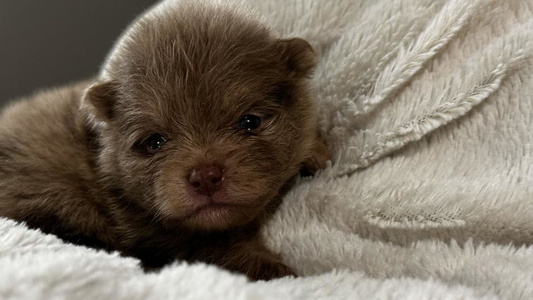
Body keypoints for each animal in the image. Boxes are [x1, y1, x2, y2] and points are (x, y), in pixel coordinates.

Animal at [0, 0, 328, 282]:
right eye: (154, 142)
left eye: (250, 122)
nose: (205, 176)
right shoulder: (157, 235)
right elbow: (213, 248)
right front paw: (275, 270)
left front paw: (315, 150)